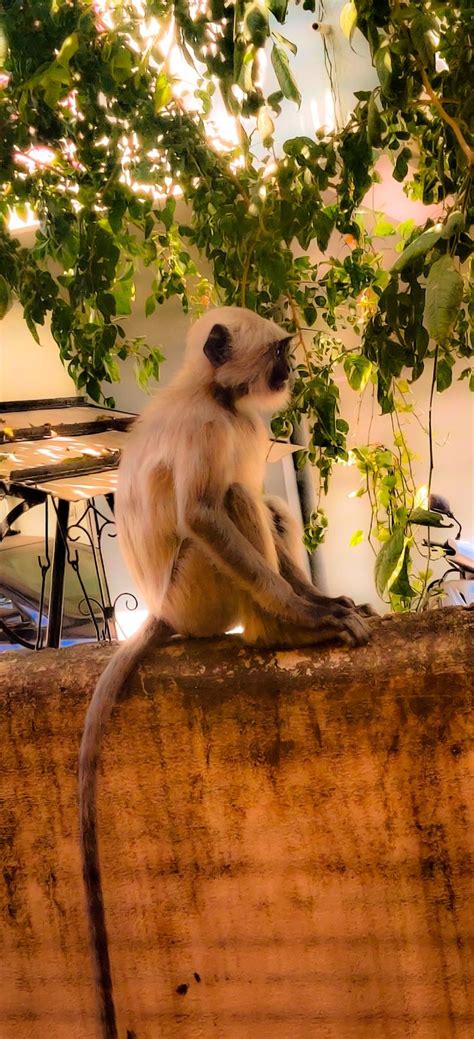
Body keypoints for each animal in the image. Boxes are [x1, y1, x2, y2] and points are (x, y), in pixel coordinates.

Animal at [78, 303, 374, 1034]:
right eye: (281, 353)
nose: (291, 372)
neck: (215, 395)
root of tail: (160, 611)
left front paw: (326, 601)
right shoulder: (209, 428)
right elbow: (204, 515)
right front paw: (306, 614)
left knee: (262, 504)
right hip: (198, 593)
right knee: (234, 502)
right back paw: (281, 629)